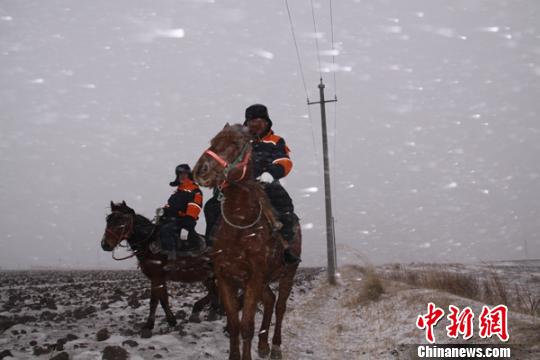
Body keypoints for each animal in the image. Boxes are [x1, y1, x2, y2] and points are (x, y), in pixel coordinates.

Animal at [100, 201, 220, 330]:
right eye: (108, 220)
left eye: (121, 220)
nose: (105, 244)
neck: (149, 243)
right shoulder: (160, 278)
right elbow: (163, 300)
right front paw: (172, 321)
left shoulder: (157, 277)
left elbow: (154, 301)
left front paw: (149, 324)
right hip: (207, 277)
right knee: (214, 292)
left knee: (216, 292)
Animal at [192, 124, 302, 360]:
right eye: (213, 140)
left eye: (235, 144)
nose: (200, 171)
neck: (239, 226)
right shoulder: (227, 278)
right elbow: (234, 324)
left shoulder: (254, 278)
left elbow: (246, 326)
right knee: (269, 300)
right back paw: (263, 345)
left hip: (287, 274)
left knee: (280, 306)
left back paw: (275, 346)